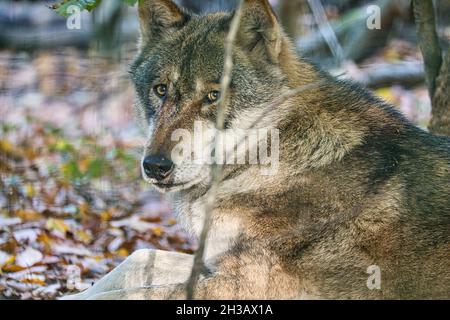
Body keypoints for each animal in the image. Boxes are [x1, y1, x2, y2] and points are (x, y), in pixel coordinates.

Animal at [67, 0, 450, 300]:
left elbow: (132, 291)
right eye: (161, 90)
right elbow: (133, 263)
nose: (155, 166)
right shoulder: (213, 261)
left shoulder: (251, 281)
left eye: (214, 96)